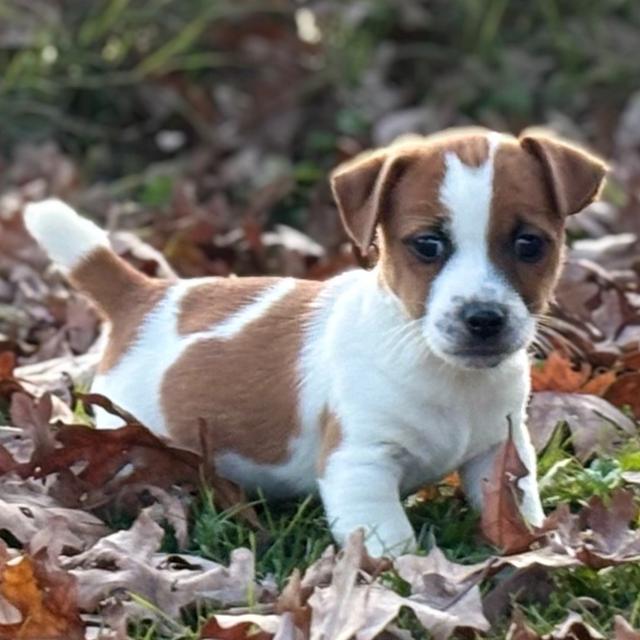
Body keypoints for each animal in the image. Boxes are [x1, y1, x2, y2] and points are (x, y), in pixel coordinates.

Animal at [25, 129, 604, 556]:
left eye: (529, 244)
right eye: (427, 245)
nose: (484, 318)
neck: (441, 369)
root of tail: (143, 295)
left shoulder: (499, 451)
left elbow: (518, 504)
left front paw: (533, 544)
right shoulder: (360, 463)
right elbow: (392, 545)